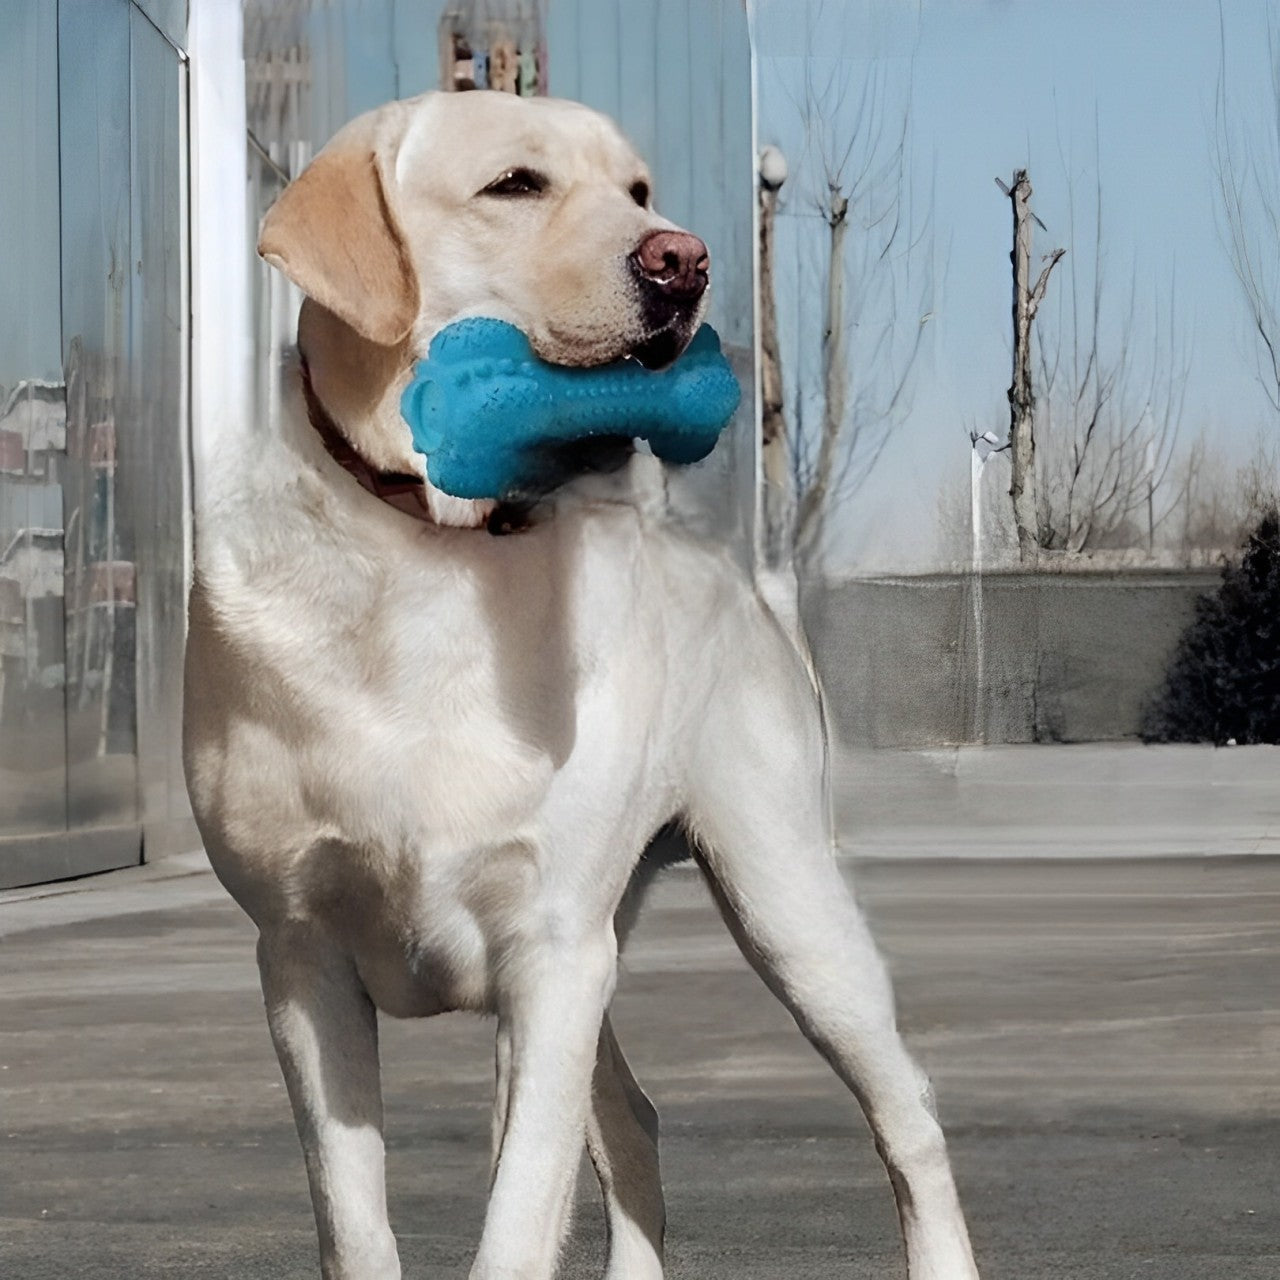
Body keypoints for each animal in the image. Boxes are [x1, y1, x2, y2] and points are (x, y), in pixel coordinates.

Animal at [183, 90, 977, 1280]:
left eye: (637, 190)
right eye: (516, 185)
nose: (685, 260)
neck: (436, 559)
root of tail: (742, 576)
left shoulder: (553, 946)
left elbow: (516, 1220)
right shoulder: (301, 951)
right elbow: (356, 1220)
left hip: (782, 898)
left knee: (908, 1107)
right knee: (633, 1119)